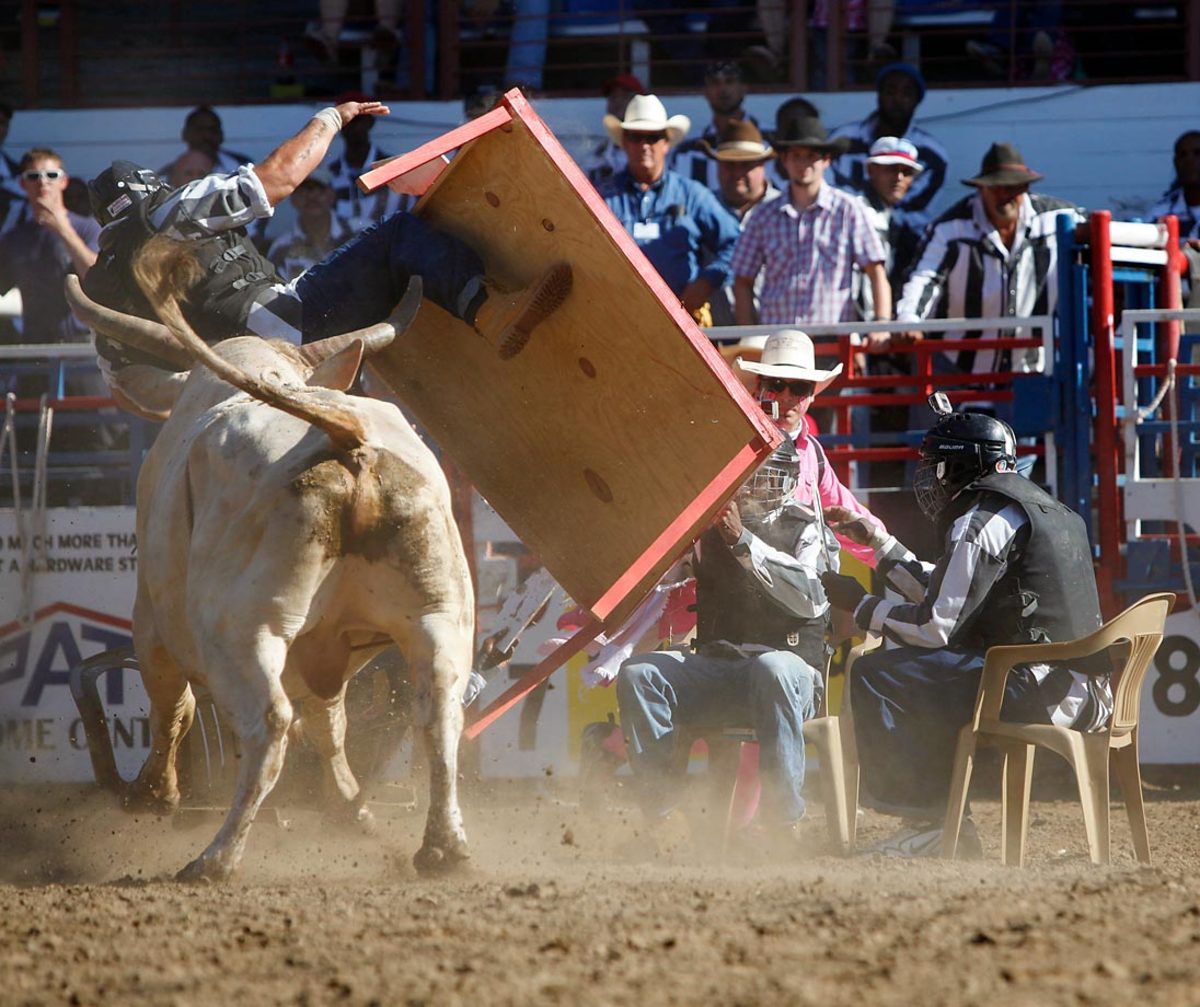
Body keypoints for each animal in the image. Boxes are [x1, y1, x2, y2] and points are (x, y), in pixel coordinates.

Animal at [63, 242, 470, 883]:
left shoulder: (151, 622)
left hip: (243, 630)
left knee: (269, 723)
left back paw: (216, 857)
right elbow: (329, 722)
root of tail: (346, 438)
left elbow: (173, 706)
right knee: (439, 704)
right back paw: (443, 847)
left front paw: (155, 793)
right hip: (438, 614)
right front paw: (348, 805)